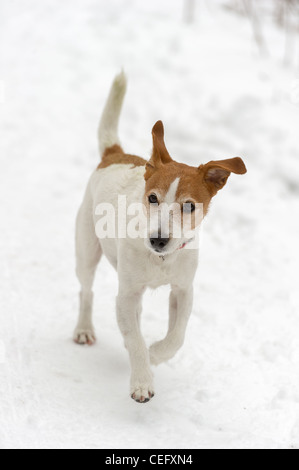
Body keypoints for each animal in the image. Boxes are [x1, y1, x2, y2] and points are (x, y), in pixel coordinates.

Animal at [74, 71, 247, 402]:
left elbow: (176, 336)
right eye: (152, 198)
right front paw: (142, 378)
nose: (158, 240)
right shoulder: (127, 293)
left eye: (189, 205)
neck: (161, 259)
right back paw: (84, 329)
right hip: (87, 250)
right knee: (86, 291)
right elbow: (134, 337)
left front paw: (154, 354)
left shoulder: (183, 290)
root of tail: (115, 154)